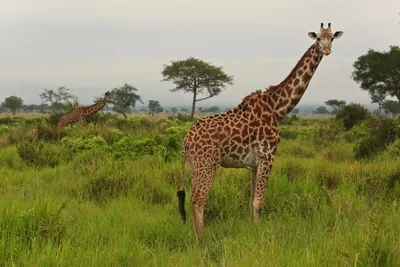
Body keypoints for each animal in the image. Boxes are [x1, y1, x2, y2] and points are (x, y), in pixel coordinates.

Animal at [177, 22, 344, 241]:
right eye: (317, 37)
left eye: (332, 37)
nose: (327, 49)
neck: (277, 109)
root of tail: (187, 139)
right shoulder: (268, 156)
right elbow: (259, 202)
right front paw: (260, 235)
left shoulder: (253, 165)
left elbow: (250, 202)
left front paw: (253, 231)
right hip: (208, 163)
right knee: (198, 198)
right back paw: (202, 239)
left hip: (194, 165)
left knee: (192, 196)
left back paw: (194, 234)